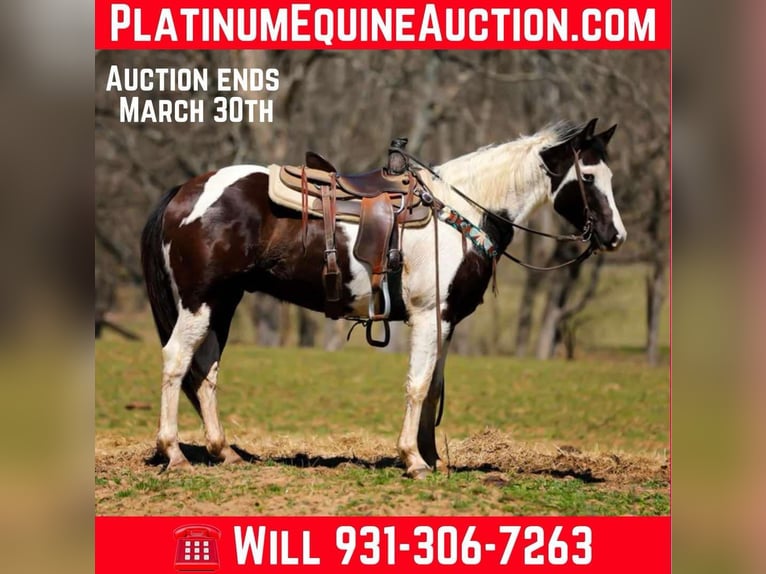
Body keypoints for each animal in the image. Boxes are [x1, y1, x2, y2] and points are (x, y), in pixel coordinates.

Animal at [140, 118, 626, 478]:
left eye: (609, 175)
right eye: (587, 176)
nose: (615, 236)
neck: (461, 211)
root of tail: (185, 191)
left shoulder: (445, 320)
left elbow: (434, 387)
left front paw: (433, 458)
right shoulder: (428, 317)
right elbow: (418, 385)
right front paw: (413, 459)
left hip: (223, 303)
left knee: (205, 371)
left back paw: (223, 451)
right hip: (199, 302)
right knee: (176, 361)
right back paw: (175, 454)